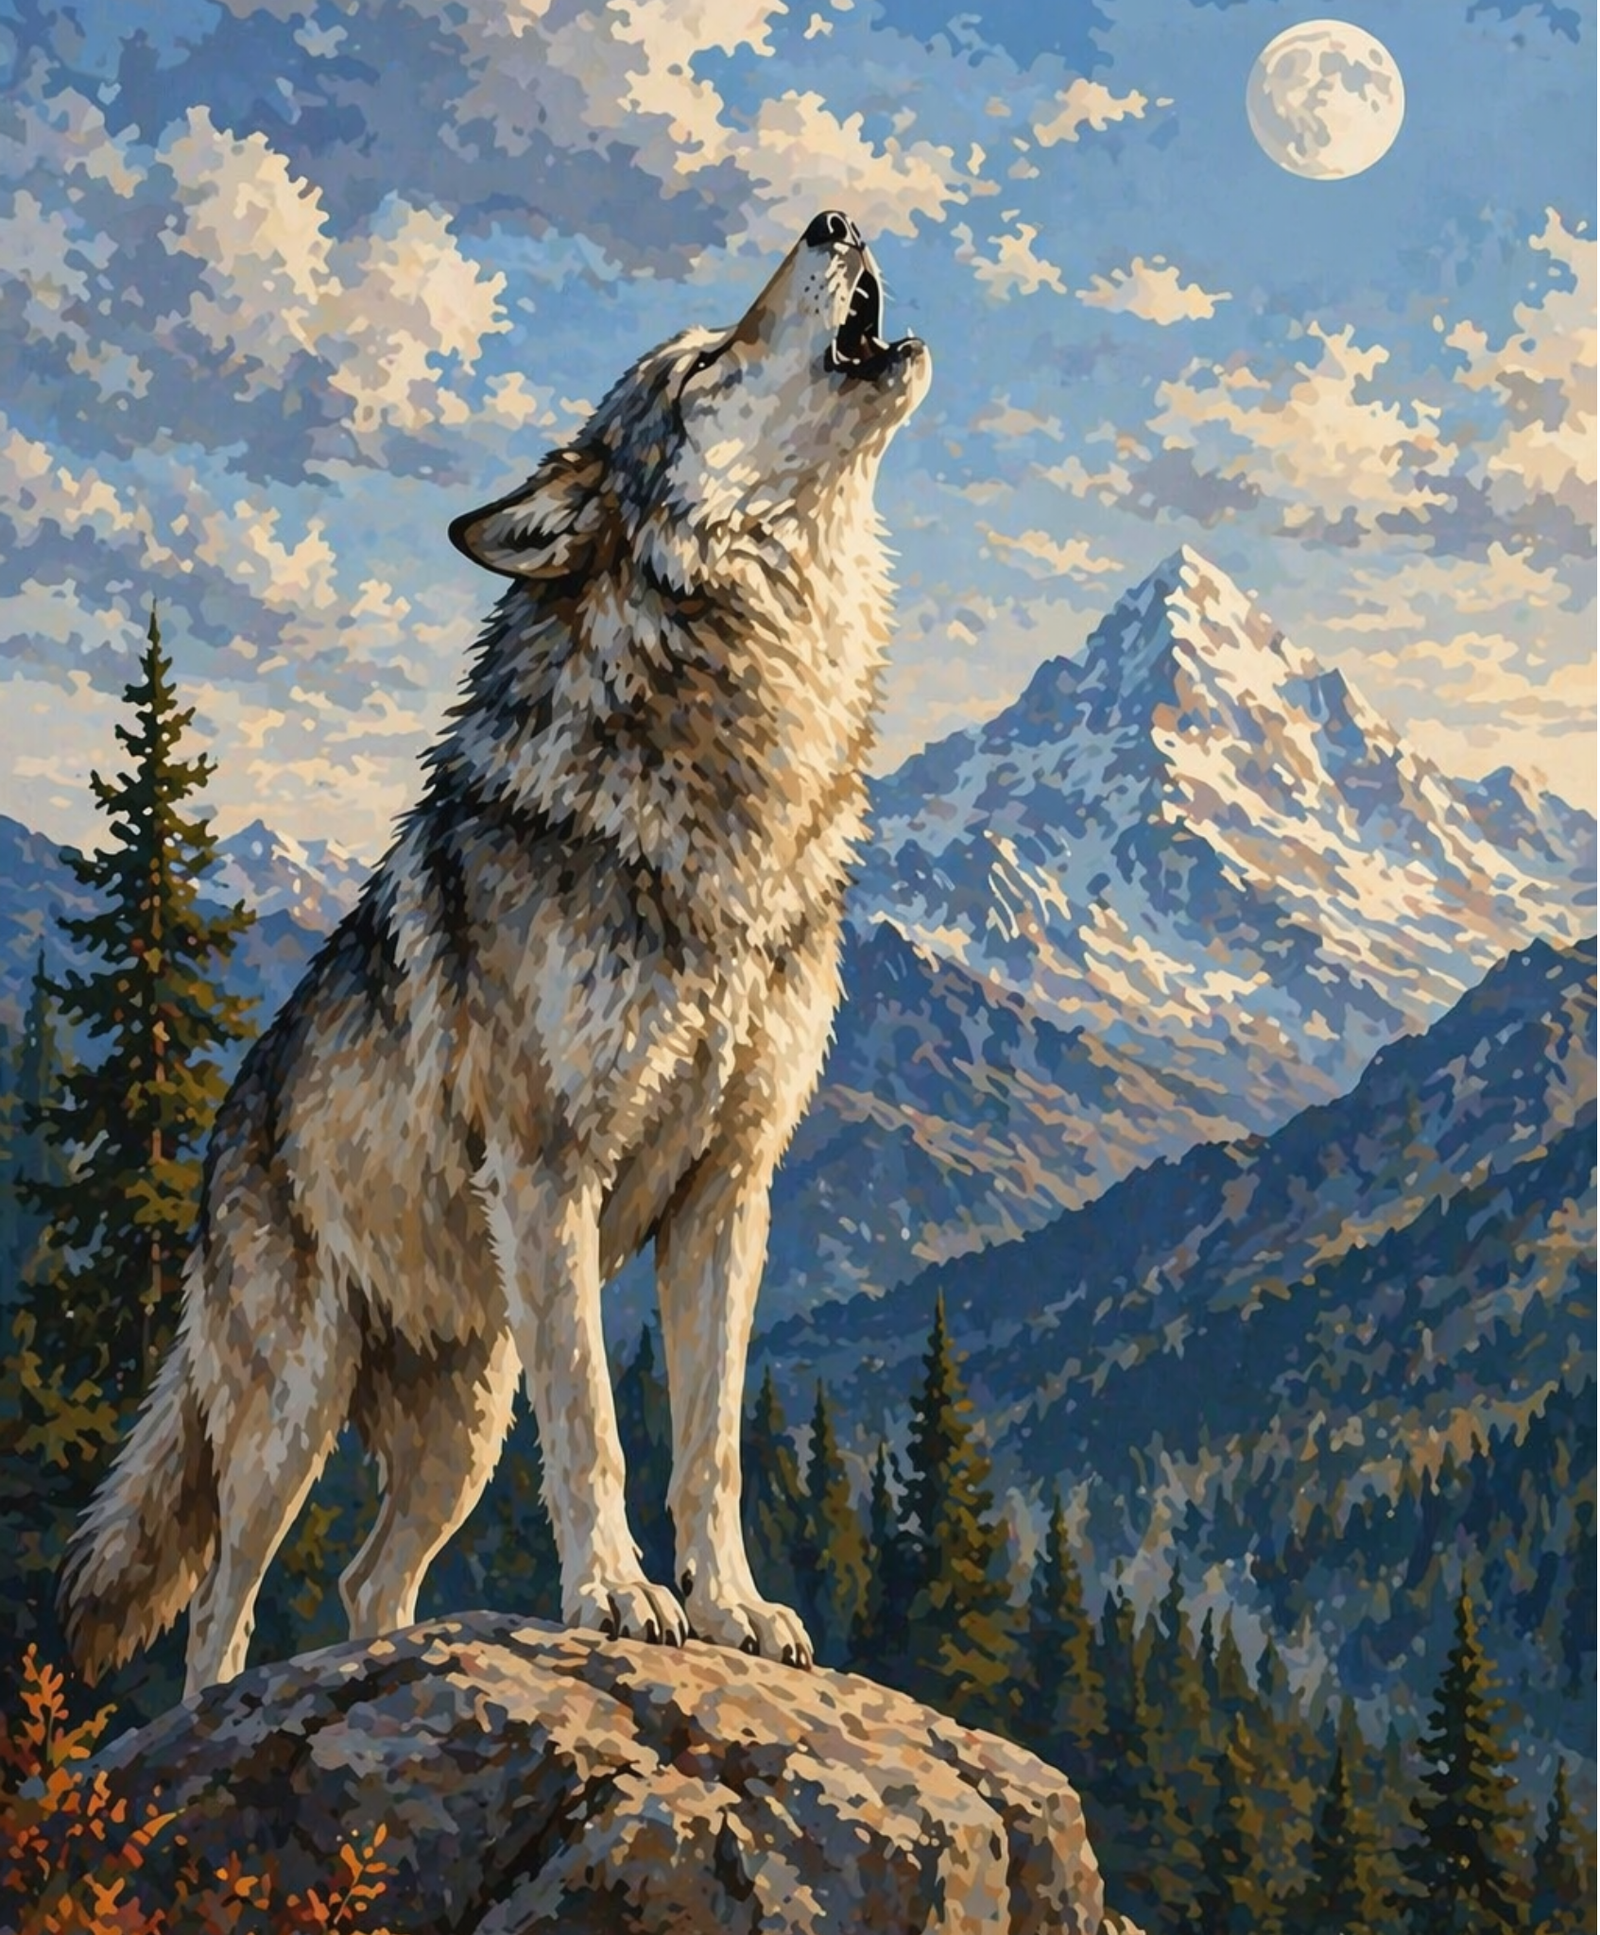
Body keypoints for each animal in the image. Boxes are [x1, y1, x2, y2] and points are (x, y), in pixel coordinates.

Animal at [59, 211, 929, 1697]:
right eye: (706, 364)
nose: (835, 219)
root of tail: (222, 1132)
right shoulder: (549, 1172)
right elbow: (599, 1430)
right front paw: (618, 1598)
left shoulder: (729, 1196)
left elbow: (710, 1448)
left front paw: (734, 1609)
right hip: (291, 1412)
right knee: (223, 1601)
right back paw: (226, 1709)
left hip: (463, 1418)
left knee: (367, 1579)